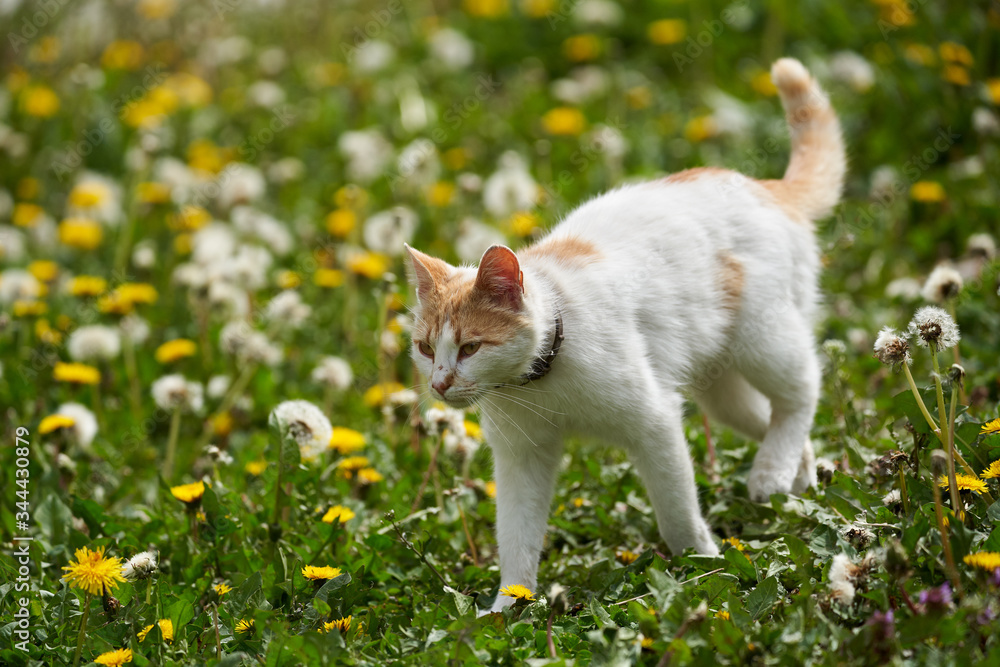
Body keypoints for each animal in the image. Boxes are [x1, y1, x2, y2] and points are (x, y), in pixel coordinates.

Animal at [402, 57, 840, 612]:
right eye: (424, 348)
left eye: (471, 347)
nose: (439, 384)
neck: (543, 377)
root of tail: (762, 186)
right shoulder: (522, 458)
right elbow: (517, 537)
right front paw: (509, 607)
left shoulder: (655, 422)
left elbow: (677, 512)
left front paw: (706, 568)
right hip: (721, 388)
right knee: (774, 419)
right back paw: (791, 474)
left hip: (764, 337)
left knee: (802, 390)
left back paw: (770, 473)